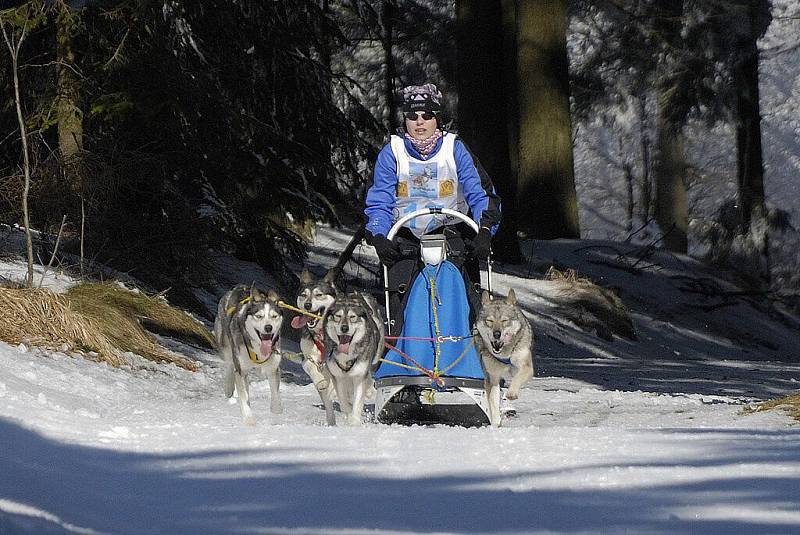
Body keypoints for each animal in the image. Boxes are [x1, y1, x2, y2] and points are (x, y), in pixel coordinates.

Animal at [216, 284, 284, 428]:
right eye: (259, 316)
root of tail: (239, 287)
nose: (268, 327)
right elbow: (244, 397)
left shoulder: (273, 368)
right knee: (229, 364)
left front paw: (276, 411)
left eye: (274, 316)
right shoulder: (241, 370)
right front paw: (249, 419)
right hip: (226, 345)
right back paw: (229, 386)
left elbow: (276, 397)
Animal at [326, 294, 386, 428]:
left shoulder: (360, 376)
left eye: (352, 317)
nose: (344, 328)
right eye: (338, 316)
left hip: (373, 361)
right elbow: (343, 401)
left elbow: (358, 401)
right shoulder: (337, 376)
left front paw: (354, 421)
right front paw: (348, 414)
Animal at [476, 288, 532, 428]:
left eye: (504, 321)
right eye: (489, 321)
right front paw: (496, 424)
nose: (497, 334)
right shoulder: (492, 377)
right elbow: (493, 404)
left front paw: (512, 393)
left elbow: (517, 379)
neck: (505, 354)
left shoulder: (526, 367)